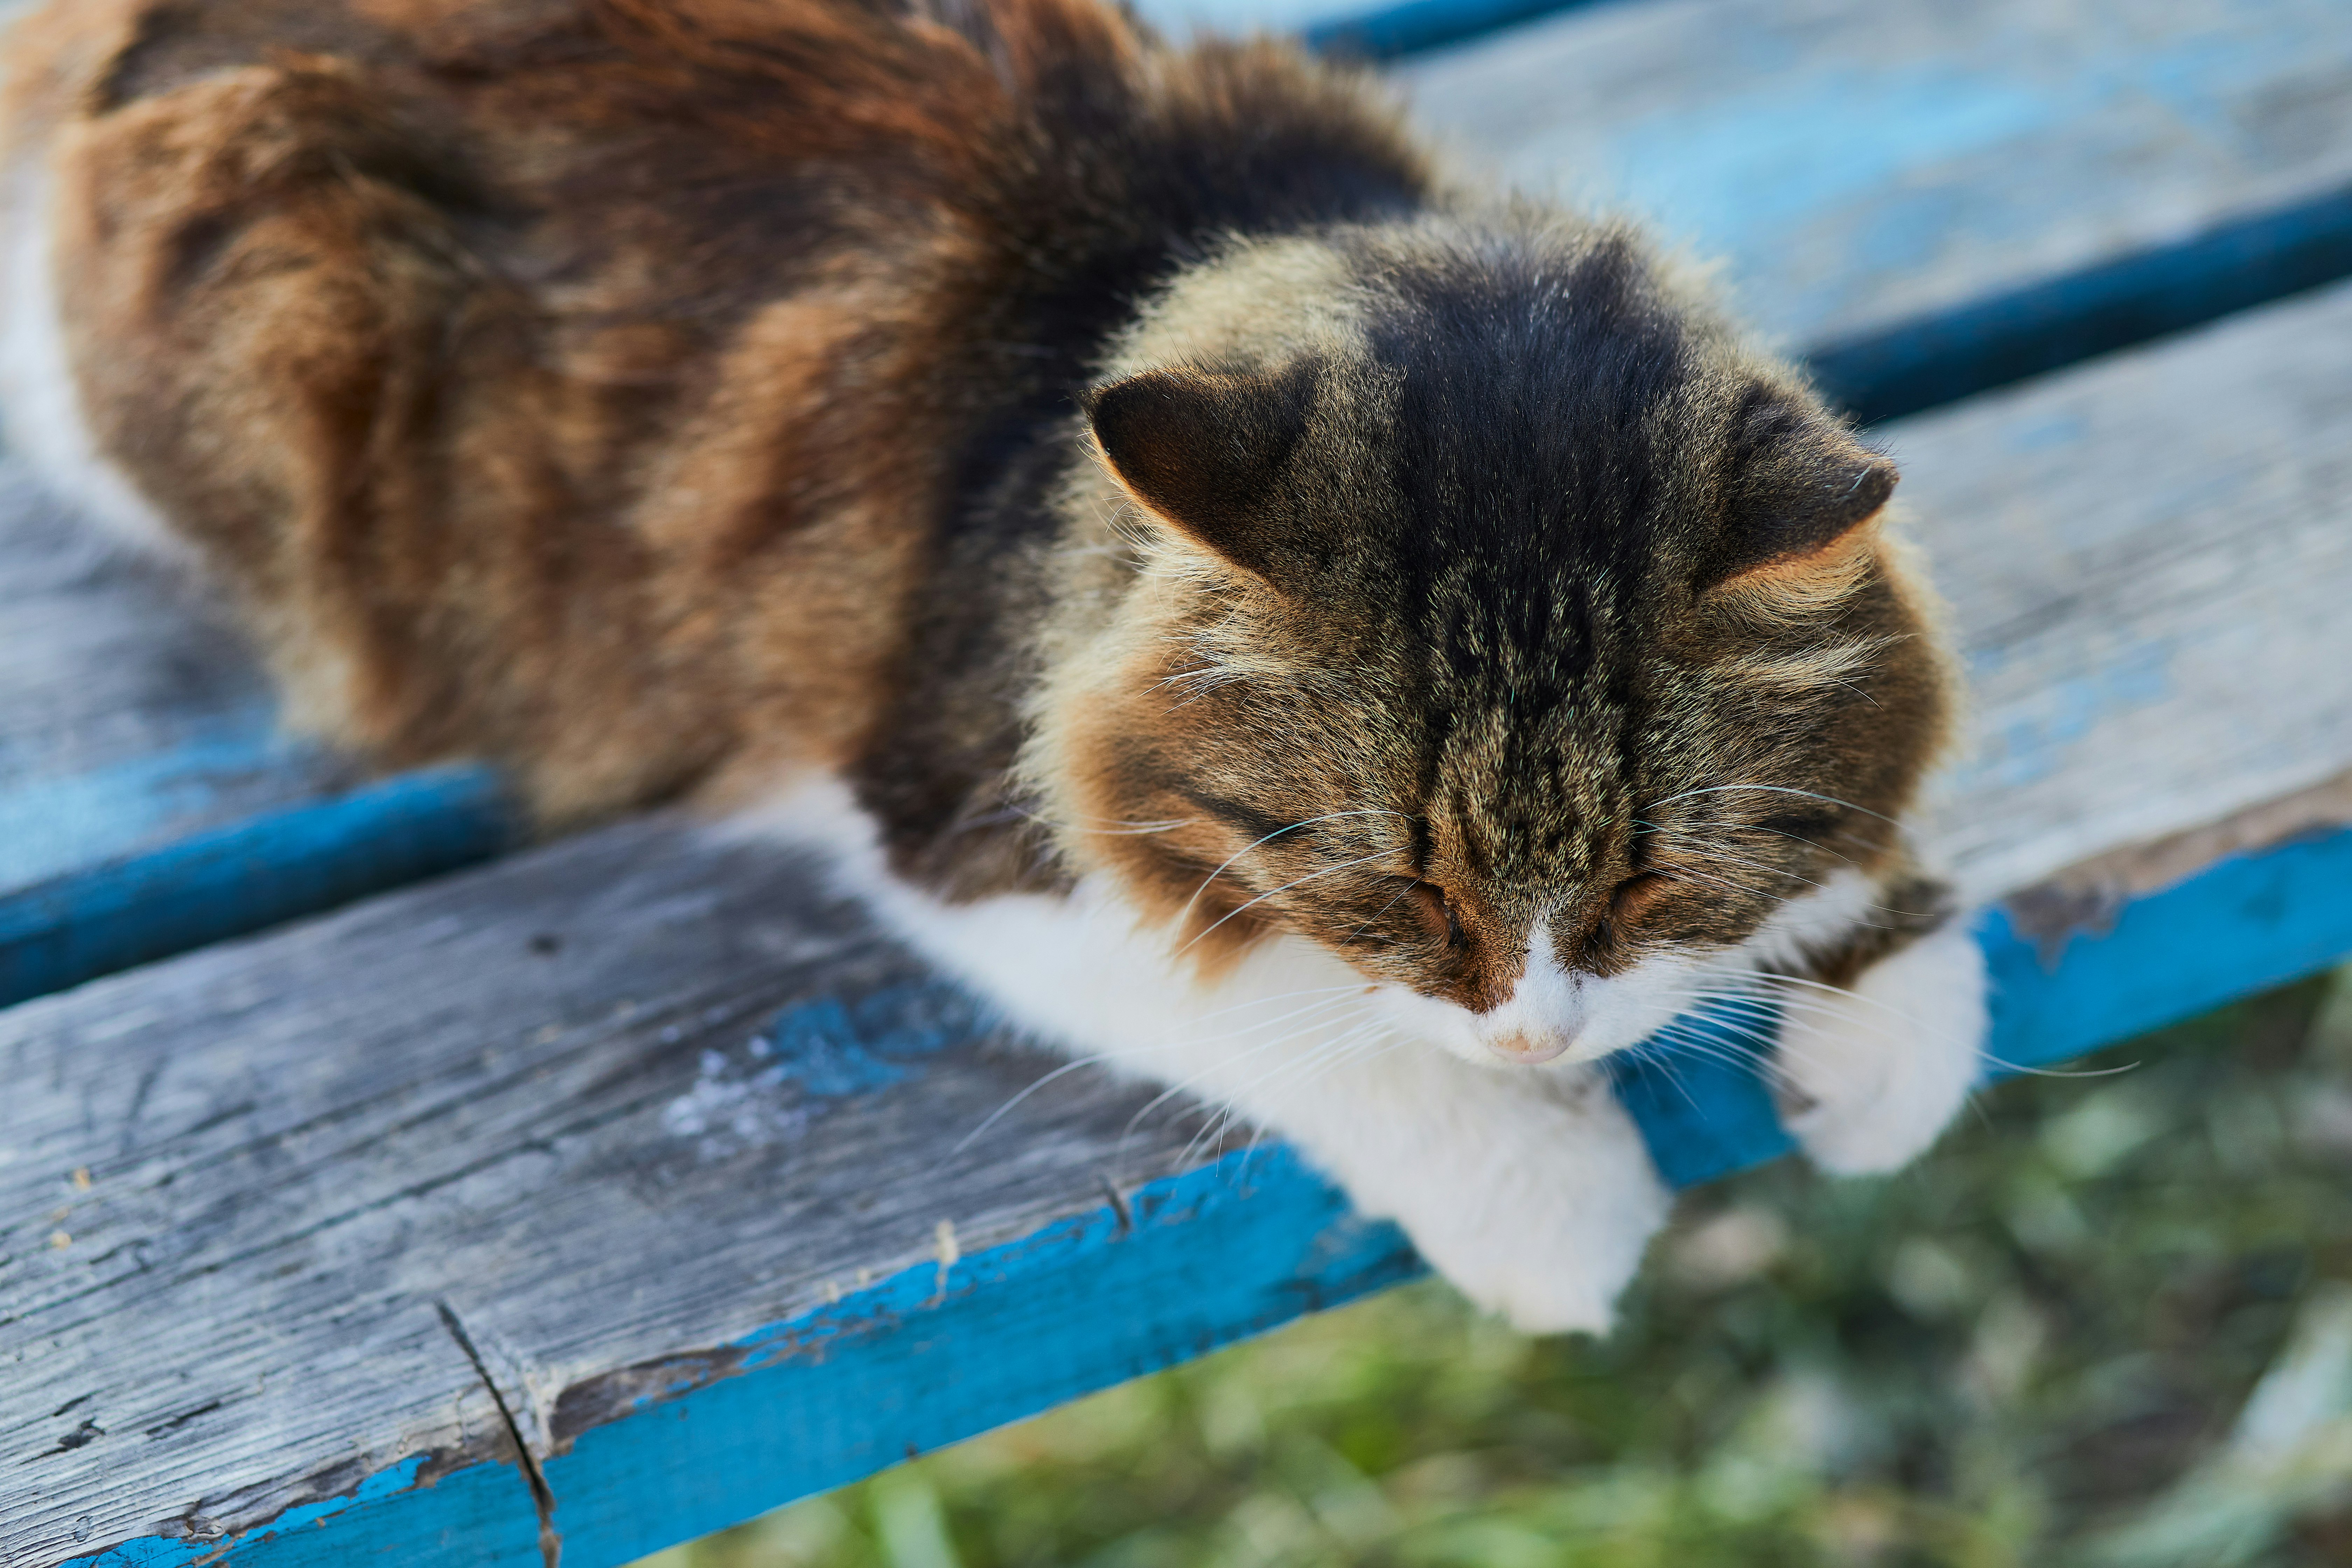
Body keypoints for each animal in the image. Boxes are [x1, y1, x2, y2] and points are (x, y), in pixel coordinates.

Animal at [0, 0, 1985, 1335]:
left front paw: (1875, 1022)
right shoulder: (962, 822)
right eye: (1393, 887)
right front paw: (1556, 1201)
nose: (1536, 1032)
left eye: (1648, 880)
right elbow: (1283, 1006)